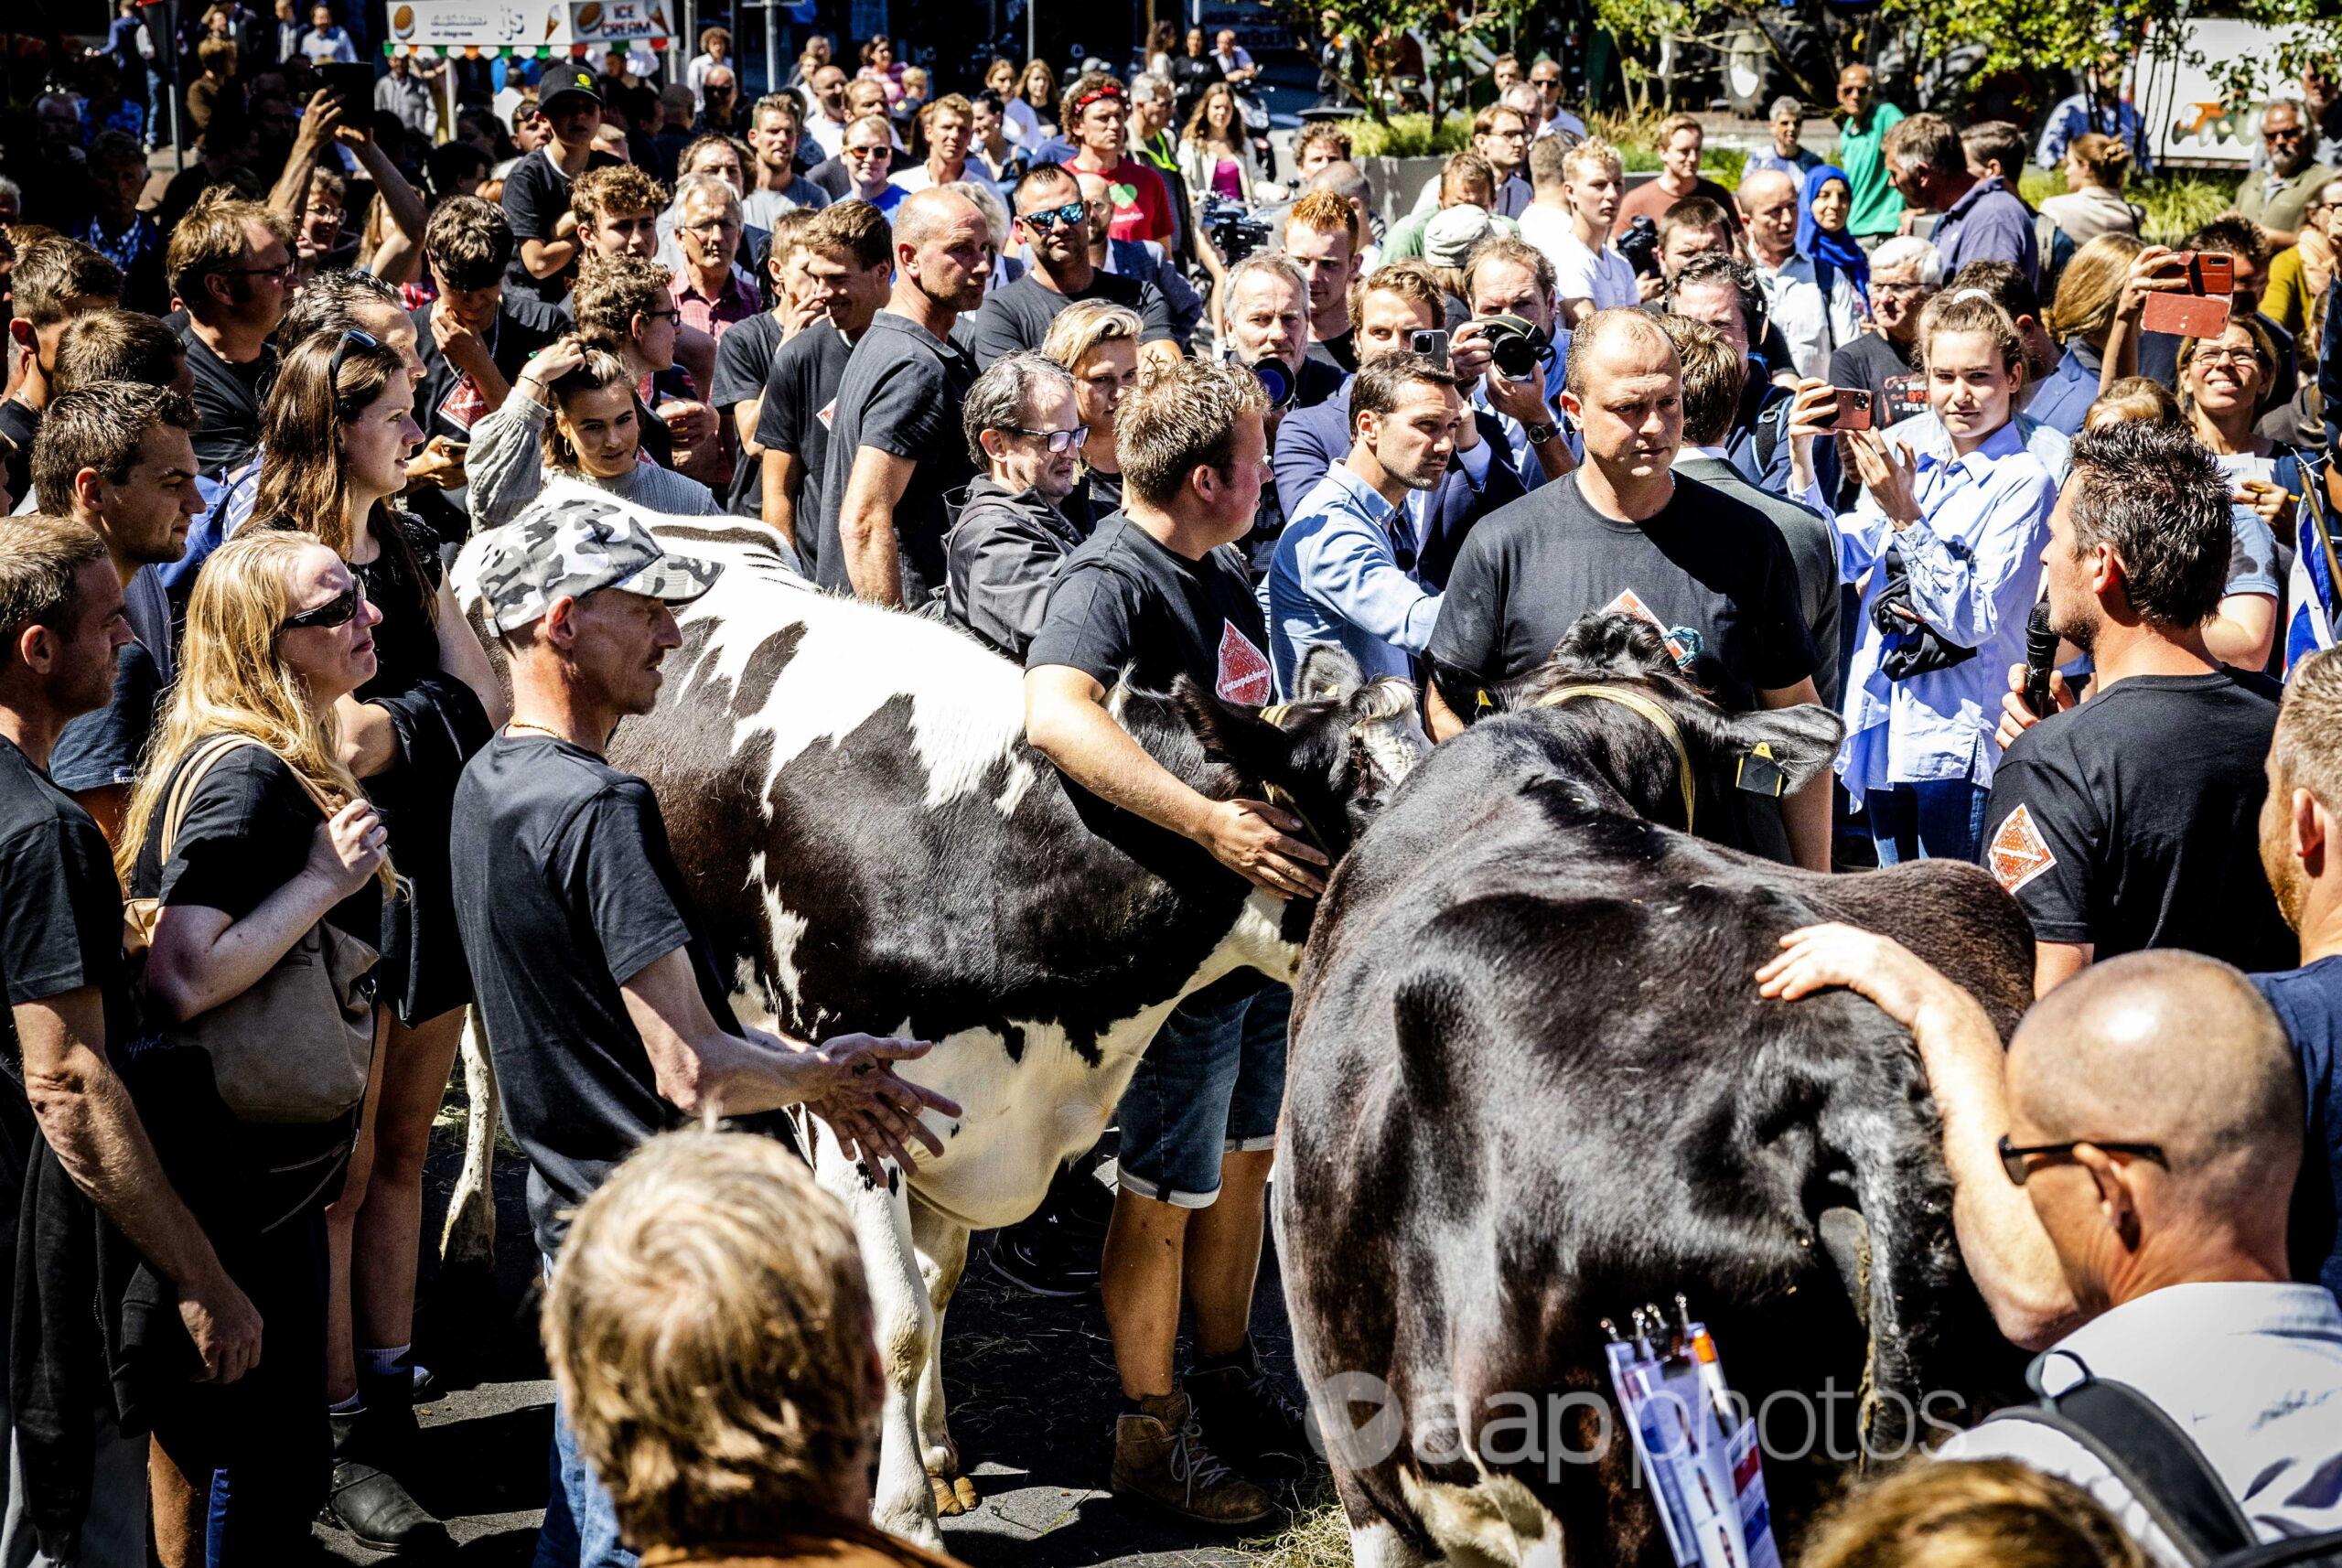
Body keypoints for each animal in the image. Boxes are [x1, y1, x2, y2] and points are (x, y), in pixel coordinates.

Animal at [445, 498, 1414, 1553]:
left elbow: (938, 1281)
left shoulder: (970, 1108)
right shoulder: (846, 1104)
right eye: (1366, 803)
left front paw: (940, 1449)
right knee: (487, 1066)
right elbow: (898, 1317)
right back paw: (472, 1235)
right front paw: (904, 1513)